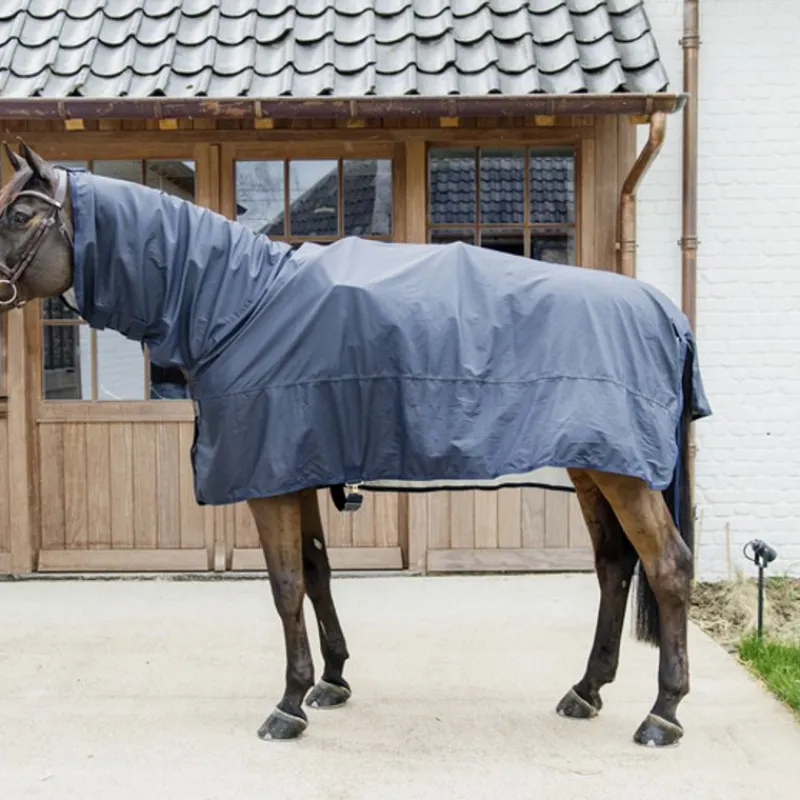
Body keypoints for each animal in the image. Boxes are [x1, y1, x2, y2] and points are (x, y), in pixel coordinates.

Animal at [0, 139, 710, 748]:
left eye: (18, 214)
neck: (239, 306)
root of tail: (665, 314)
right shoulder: (297, 469)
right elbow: (316, 572)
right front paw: (332, 680)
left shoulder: (270, 482)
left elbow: (286, 585)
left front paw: (288, 703)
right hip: (594, 469)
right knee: (614, 565)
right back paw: (587, 690)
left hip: (625, 477)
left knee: (668, 566)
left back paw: (663, 714)